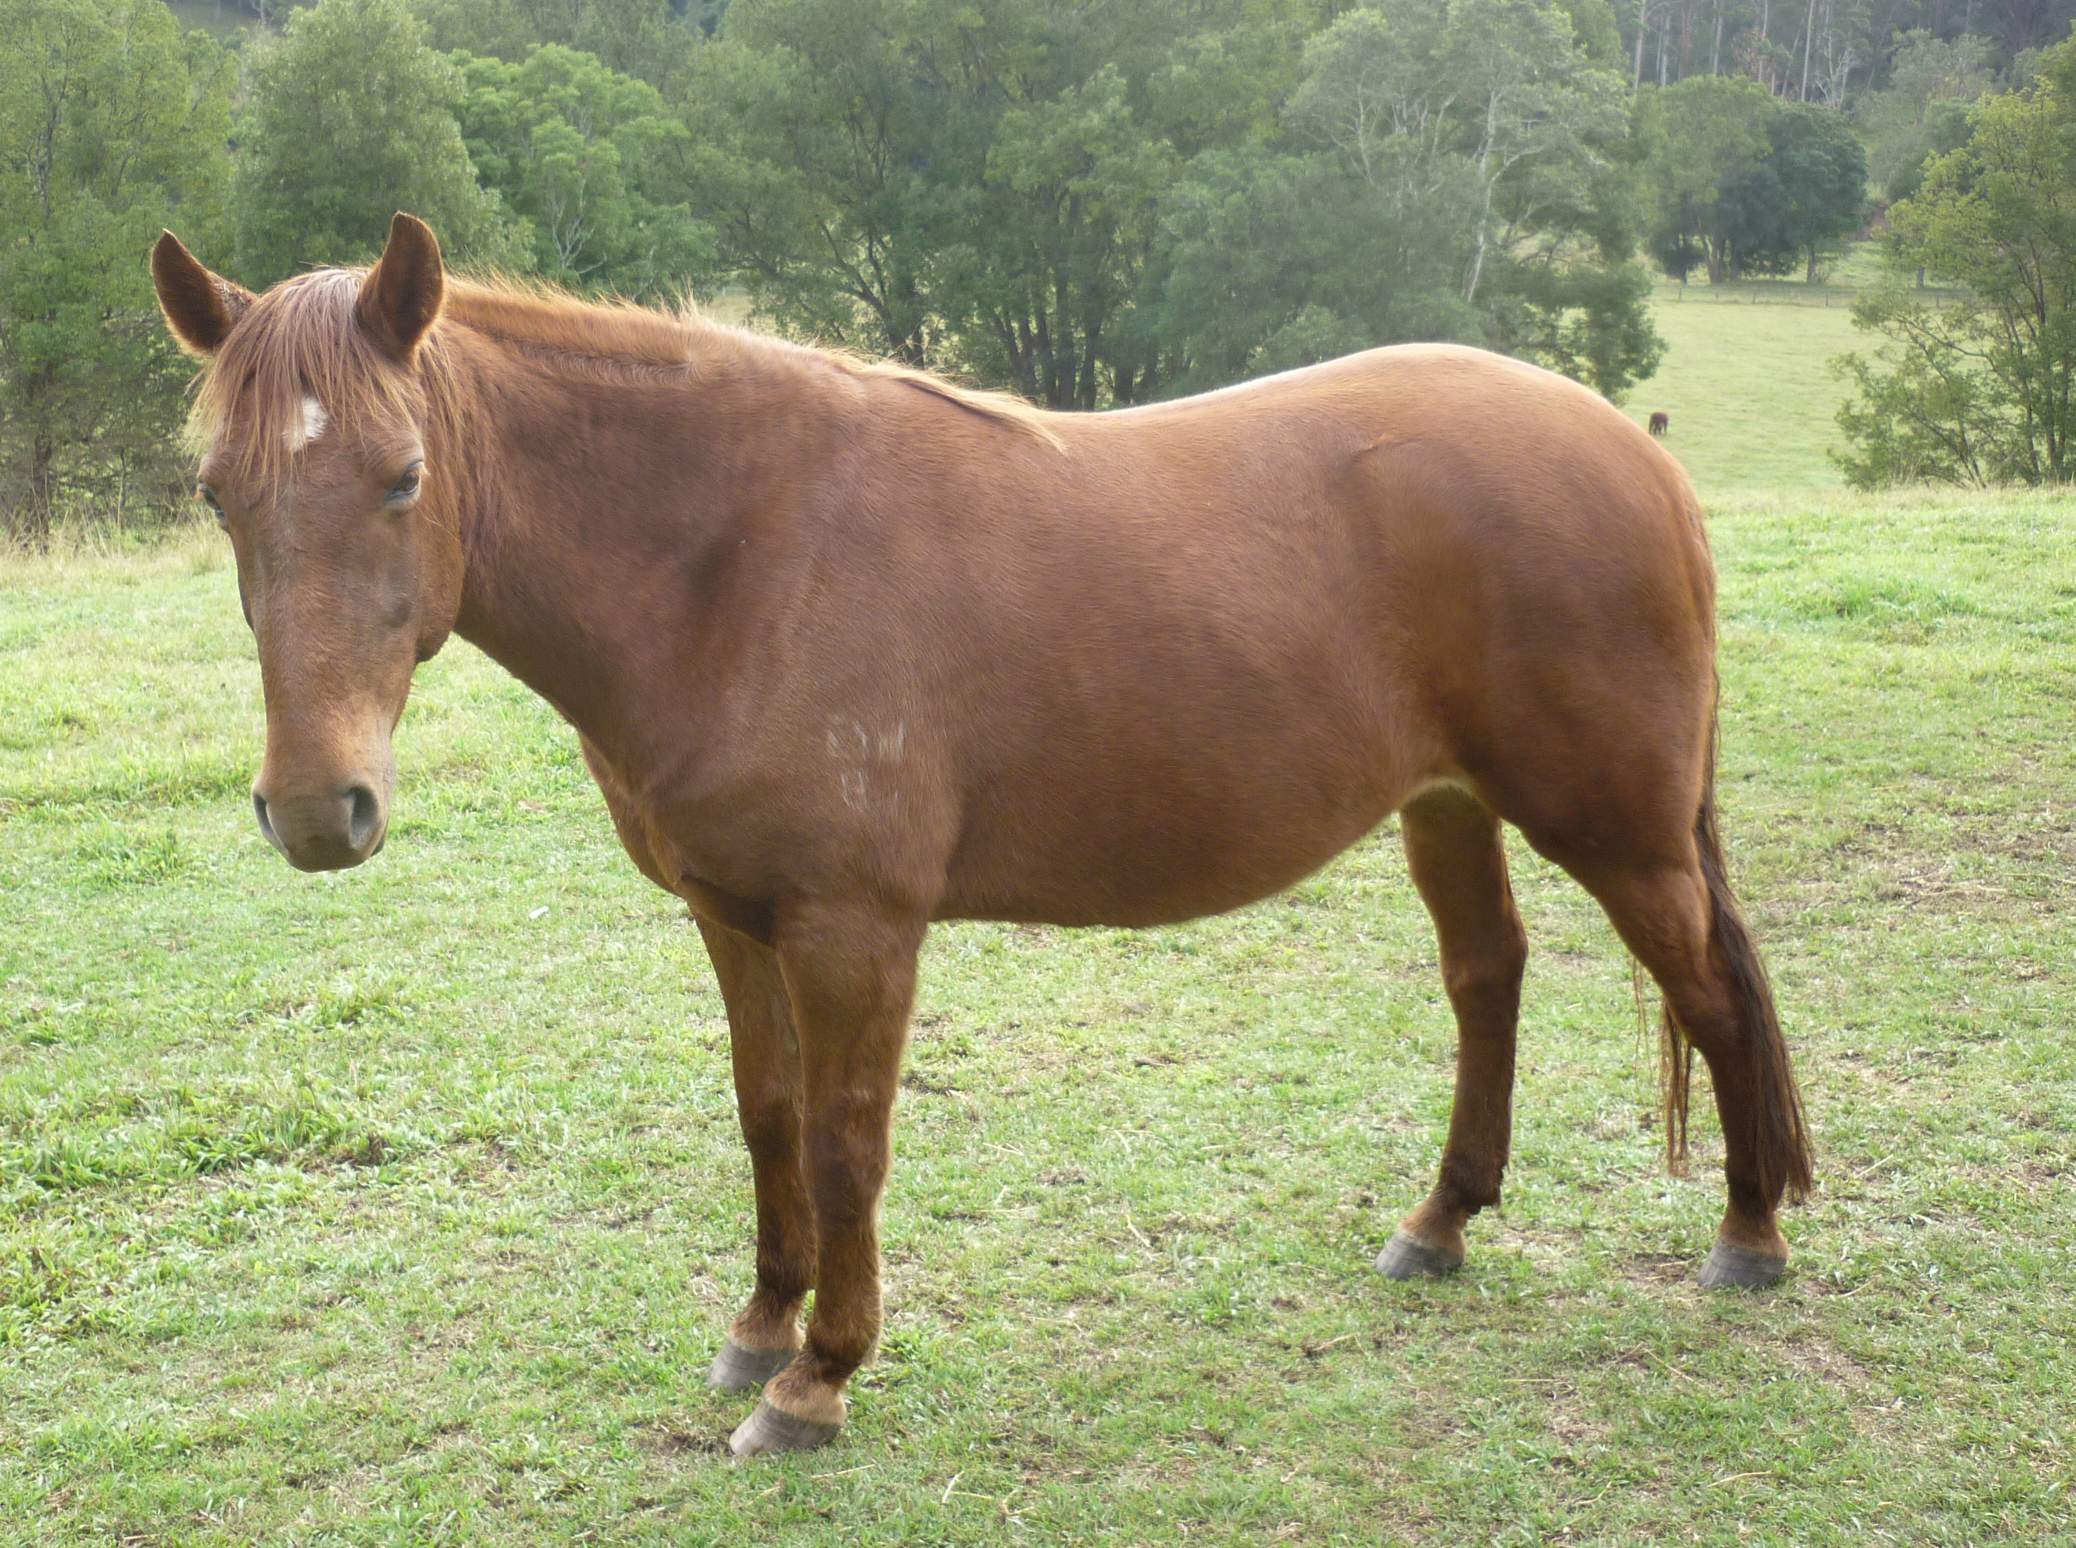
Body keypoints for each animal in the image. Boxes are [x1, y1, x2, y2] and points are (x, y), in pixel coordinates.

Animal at [150, 213, 1801, 1444]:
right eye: (218, 492)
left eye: (402, 479)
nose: (318, 810)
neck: (737, 558)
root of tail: (1635, 453)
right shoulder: (732, 918)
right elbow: (766, 1117)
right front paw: (759, 1327)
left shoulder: (853, 931)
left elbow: (845, 1140)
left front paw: (817, 1381)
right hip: (1447, 808)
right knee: (1487, 981)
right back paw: (1441, 1223)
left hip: (1620, 828)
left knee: (1711, 991)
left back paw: (1749, 1239)